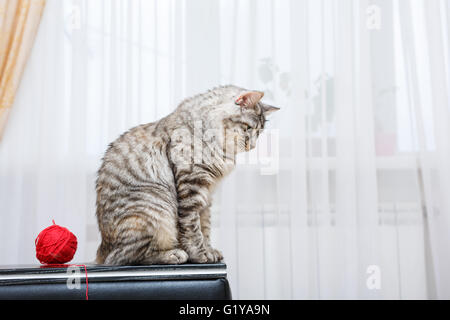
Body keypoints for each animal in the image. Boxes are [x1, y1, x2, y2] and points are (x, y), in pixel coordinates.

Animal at [95, 85, 278, 264]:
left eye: (258, 134)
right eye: (248, 128)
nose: (252, 146)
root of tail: (102, 250)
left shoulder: (207, 194)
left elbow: (205, 227)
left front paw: (209, 250)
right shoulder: (192, 186)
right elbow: (192, 228)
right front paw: (199, 254)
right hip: (154, 211)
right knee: (129, 257)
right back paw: (174, 255)